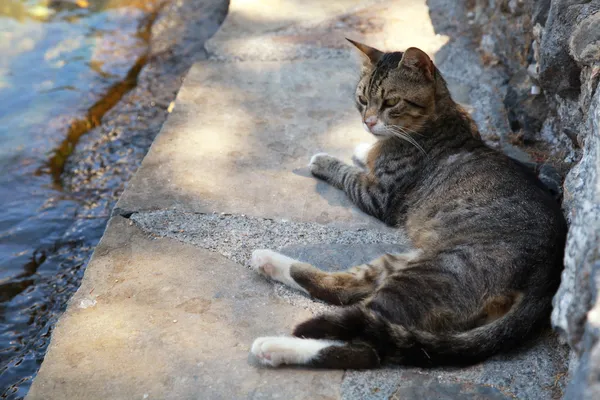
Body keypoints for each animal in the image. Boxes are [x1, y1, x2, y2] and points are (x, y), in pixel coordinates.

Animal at [247, 39, 568, 368]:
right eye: (362, 100)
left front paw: (329, 161)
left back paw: (275, 346)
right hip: (406, 262)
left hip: (430, 274)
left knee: (365, 344)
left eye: (391, 102)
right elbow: (368, 155)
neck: (439, 119)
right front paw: (364, 149)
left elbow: (349, 175)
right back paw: (268, 261)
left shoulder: (379, 197)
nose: (368, 122)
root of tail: (546, 284)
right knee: (340, 289)